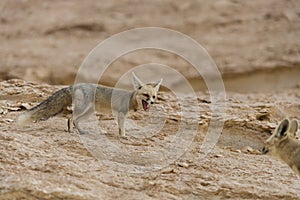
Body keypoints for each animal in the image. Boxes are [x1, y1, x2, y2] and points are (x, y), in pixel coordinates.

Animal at [17, 72, 163, 138]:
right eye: (146, 95)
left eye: (154, 96)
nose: (152, 102)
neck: (131, 98)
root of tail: (74, 85)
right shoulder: (121, 114)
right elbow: (122, 128)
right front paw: (123, 136)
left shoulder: (118, 115)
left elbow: (120, 127)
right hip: (84, 109)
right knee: (72, 117)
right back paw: (77, 131)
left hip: (88, 111)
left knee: (71, 118)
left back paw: (75, 131)